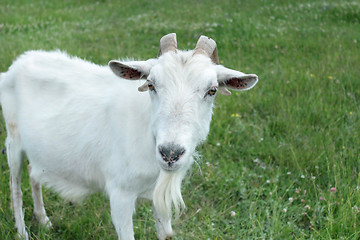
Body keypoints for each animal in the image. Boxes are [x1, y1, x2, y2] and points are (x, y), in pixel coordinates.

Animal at [0, 32, 258, 239]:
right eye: (151, 84)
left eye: (212, 90)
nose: (170, 153)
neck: (146, 131)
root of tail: (18, 64)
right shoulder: (120, 194)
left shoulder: (157, 194)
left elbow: (165, 234)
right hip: (13, 140)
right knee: (15, 187)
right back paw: (22, 232)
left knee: (34, 173)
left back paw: (43, 221)